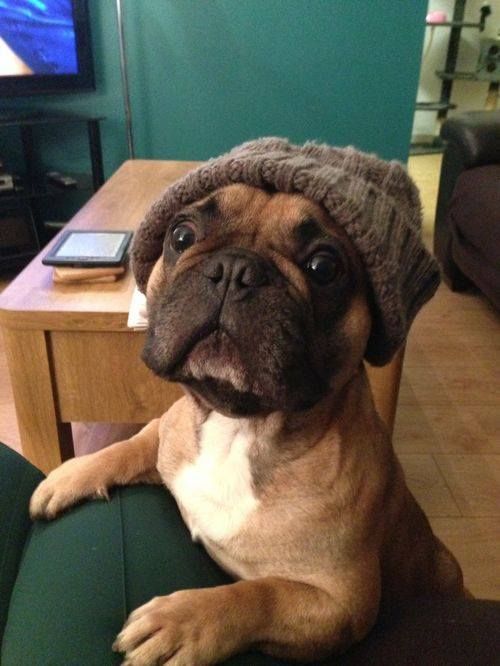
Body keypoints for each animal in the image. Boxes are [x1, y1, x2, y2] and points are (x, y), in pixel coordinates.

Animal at [29, 143, 462, 660]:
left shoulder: (340, 604)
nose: (234, 270)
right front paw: (70, 474)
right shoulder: (165, 434)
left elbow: (260, 594)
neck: (238, 424)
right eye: (181, 234)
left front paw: (181, 622)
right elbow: (128, 445)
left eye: (324, 267)